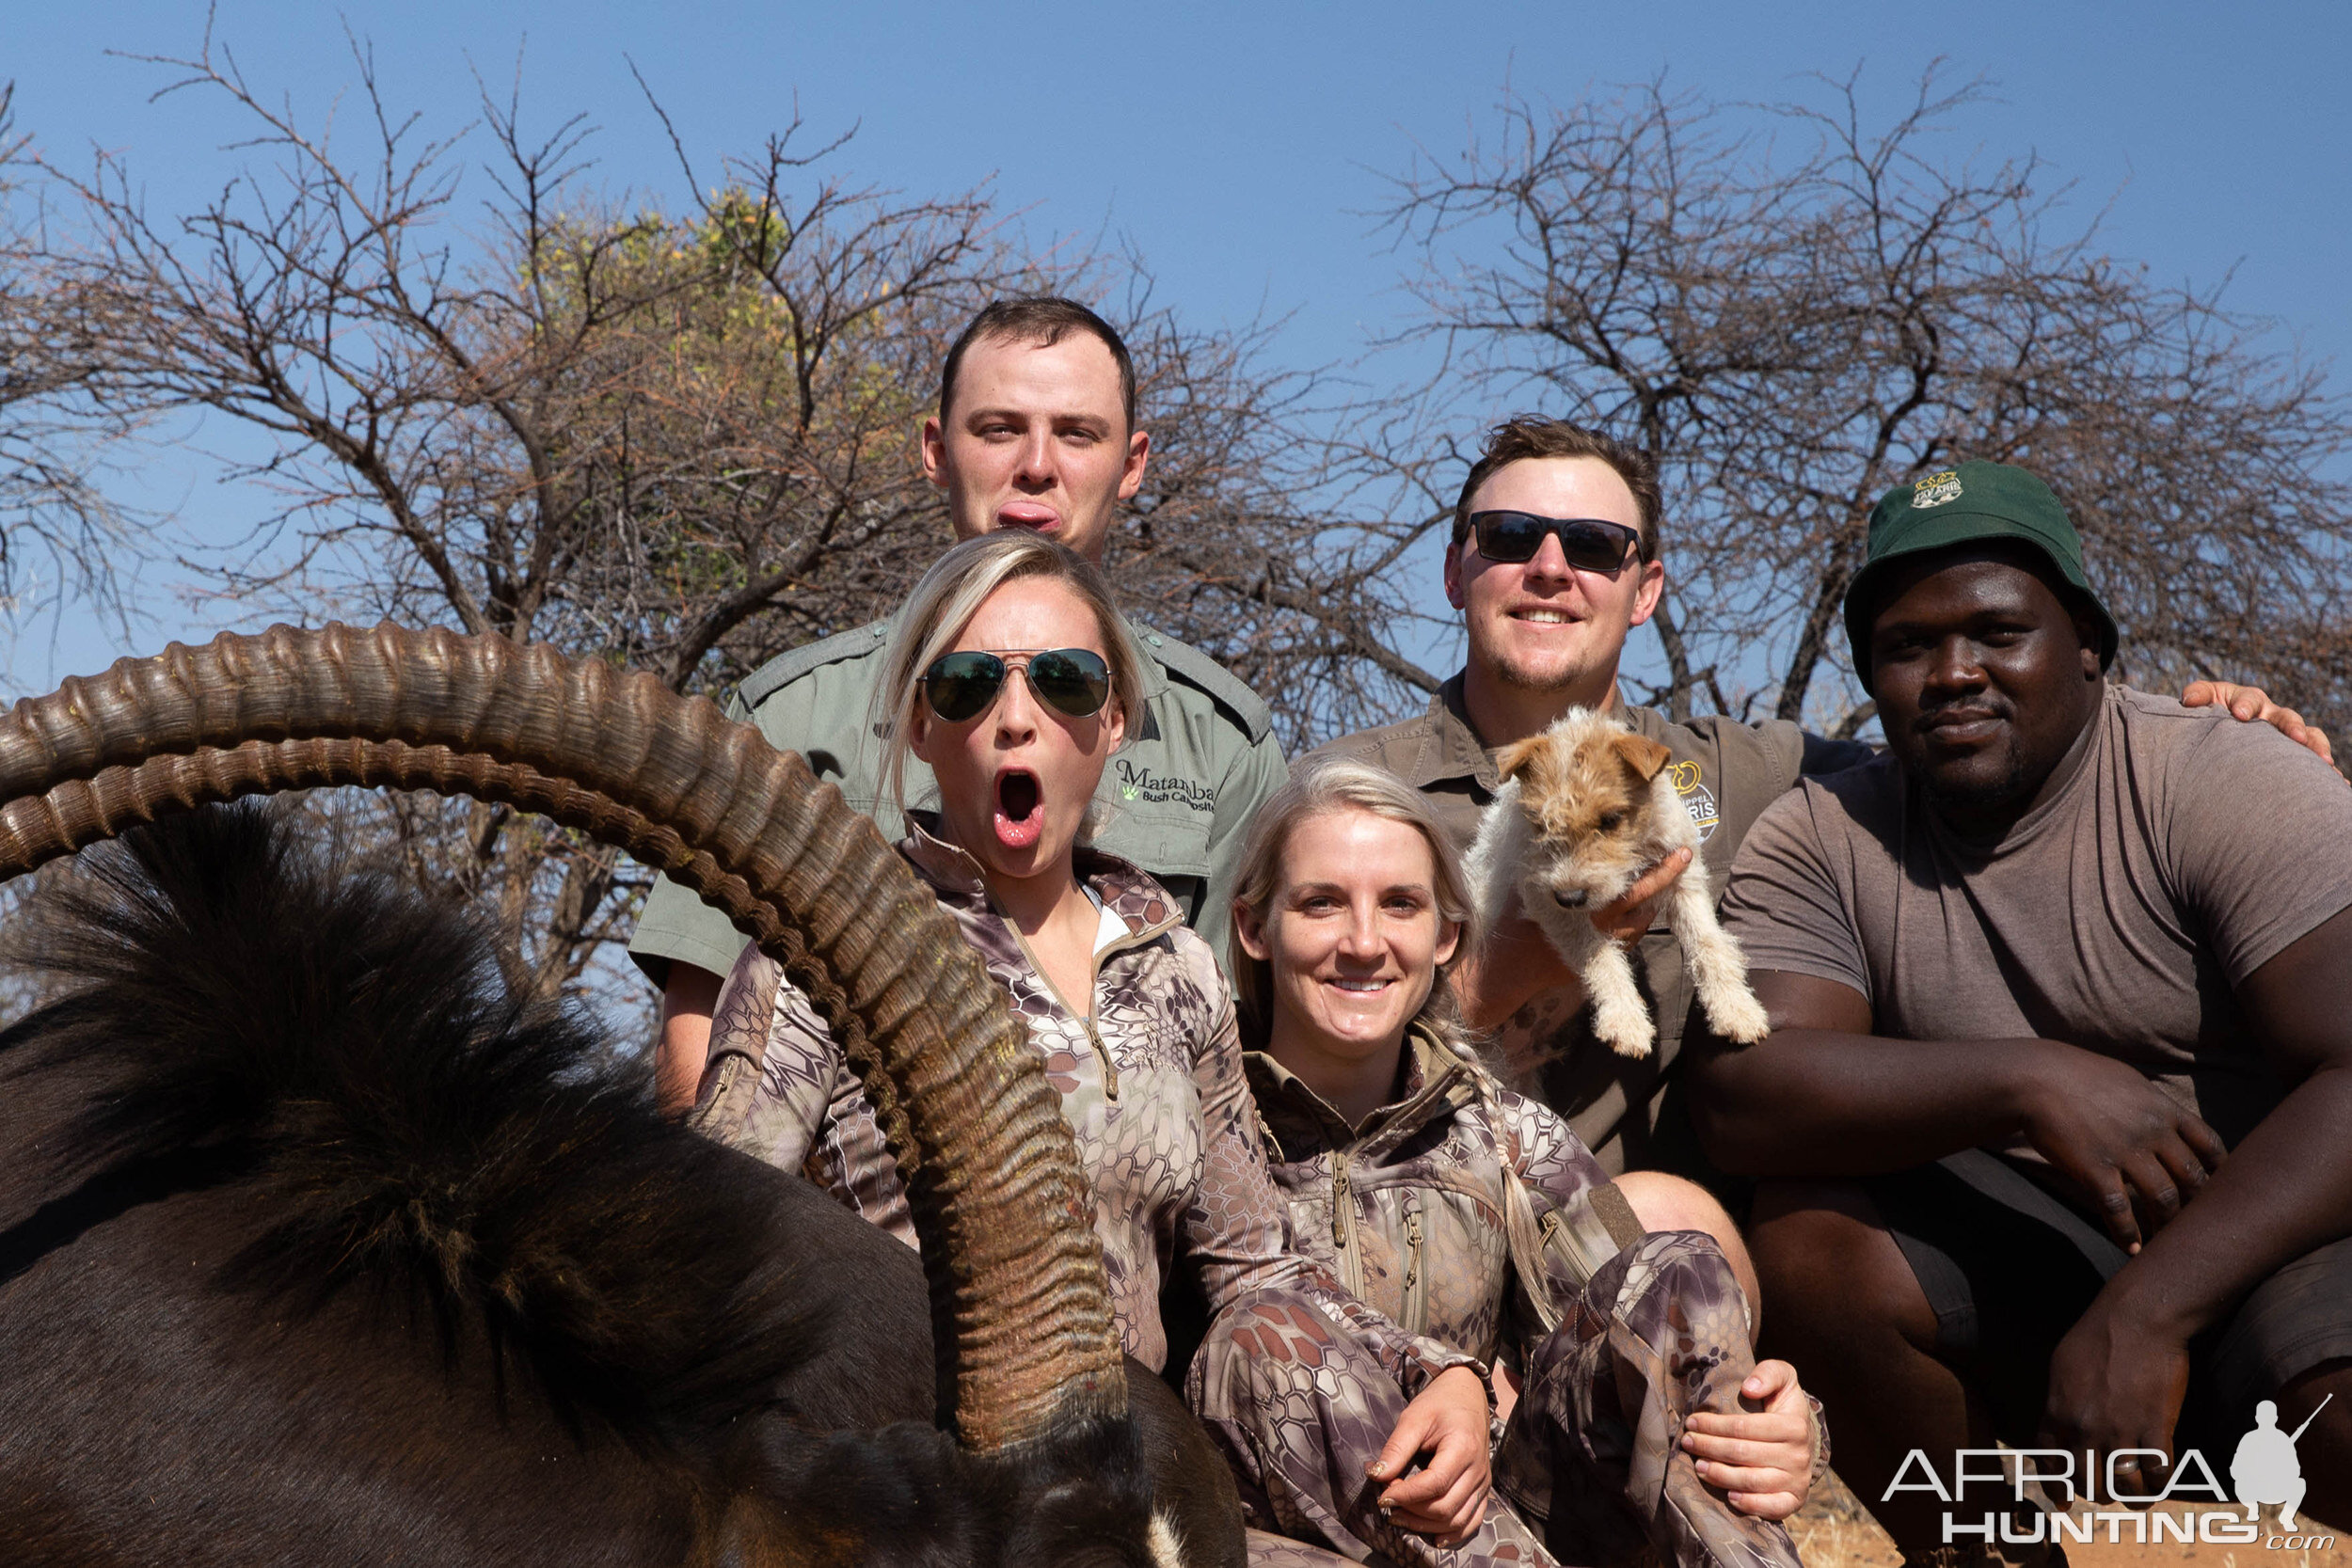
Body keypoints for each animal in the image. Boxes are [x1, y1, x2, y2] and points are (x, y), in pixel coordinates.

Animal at [1458, 709, 1769, 1067]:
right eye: (1540, 824)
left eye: (1610, 820)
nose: (1570, 896)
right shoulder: (1544, 898)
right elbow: (1599, 953)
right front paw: (1626, 1020)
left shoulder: (1683, 878)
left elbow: (1709, 942)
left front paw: (1737, 1010)